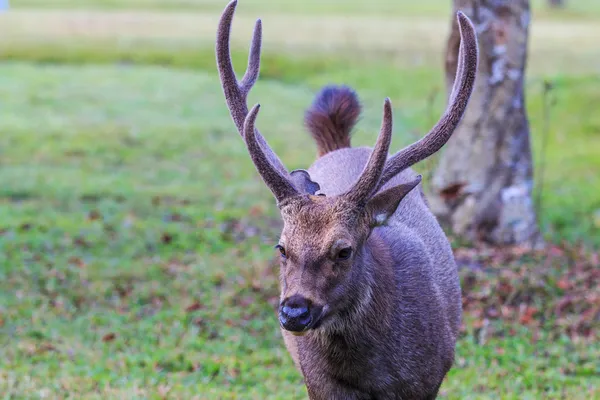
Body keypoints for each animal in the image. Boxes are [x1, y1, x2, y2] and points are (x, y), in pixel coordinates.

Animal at [216, 1, 478, 398]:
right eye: (281, 248)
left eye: (343, 250)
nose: (294, 312)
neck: (374, 375)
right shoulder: (318, 383)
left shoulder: (431, 376)